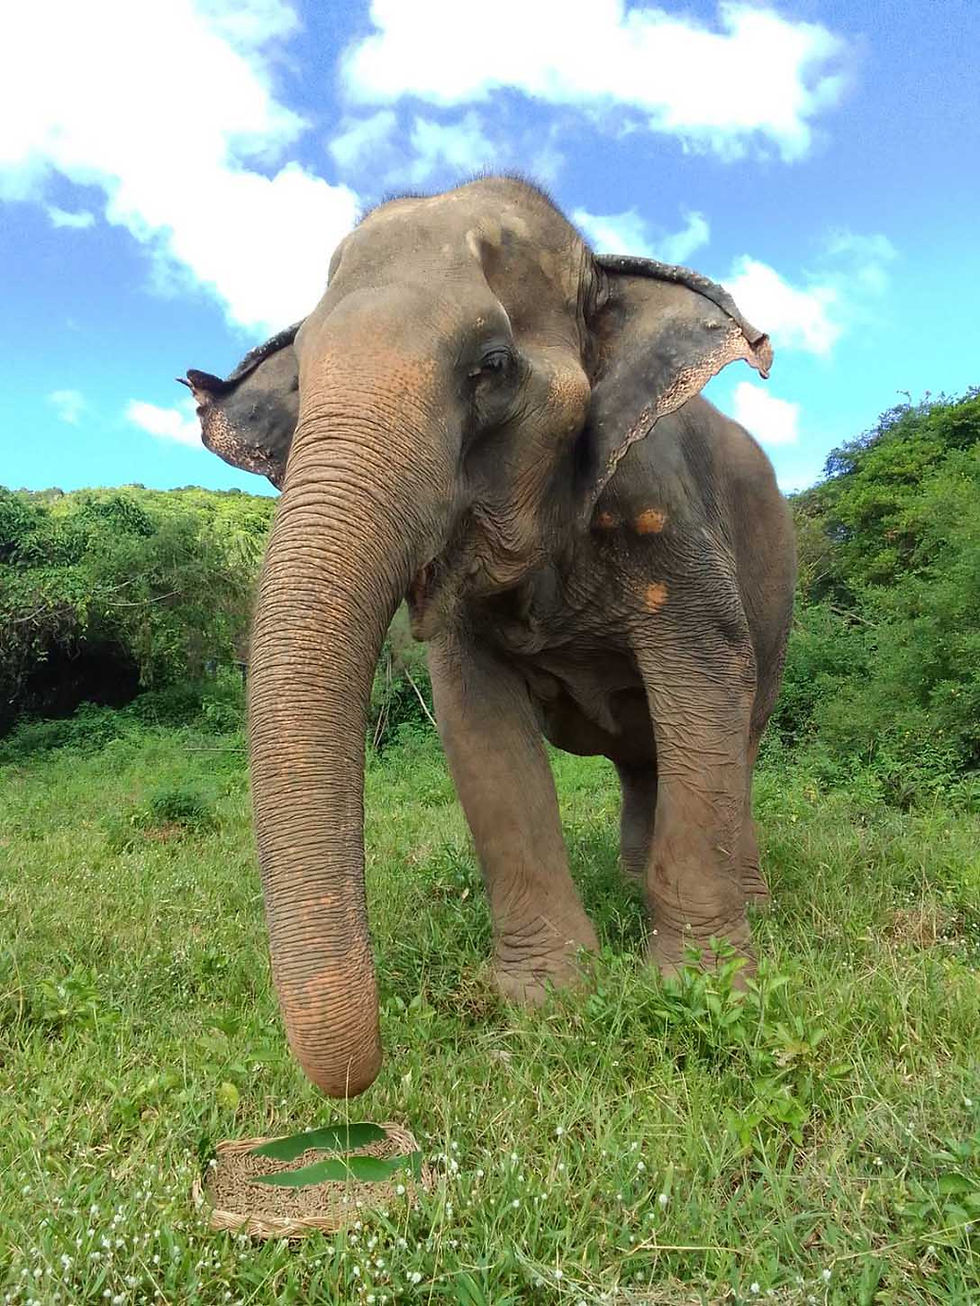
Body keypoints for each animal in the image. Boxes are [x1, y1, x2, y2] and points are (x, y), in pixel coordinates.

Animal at [183, 176, 795, 1099]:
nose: (359, 1083)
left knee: (734, 738)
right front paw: (547, 998)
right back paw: (629, 881)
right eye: (301, 384)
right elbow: (479, 723)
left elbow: (705, 673)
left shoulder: (666, 514)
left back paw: (743, 901)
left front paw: (705, 985)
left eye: (493, 366)